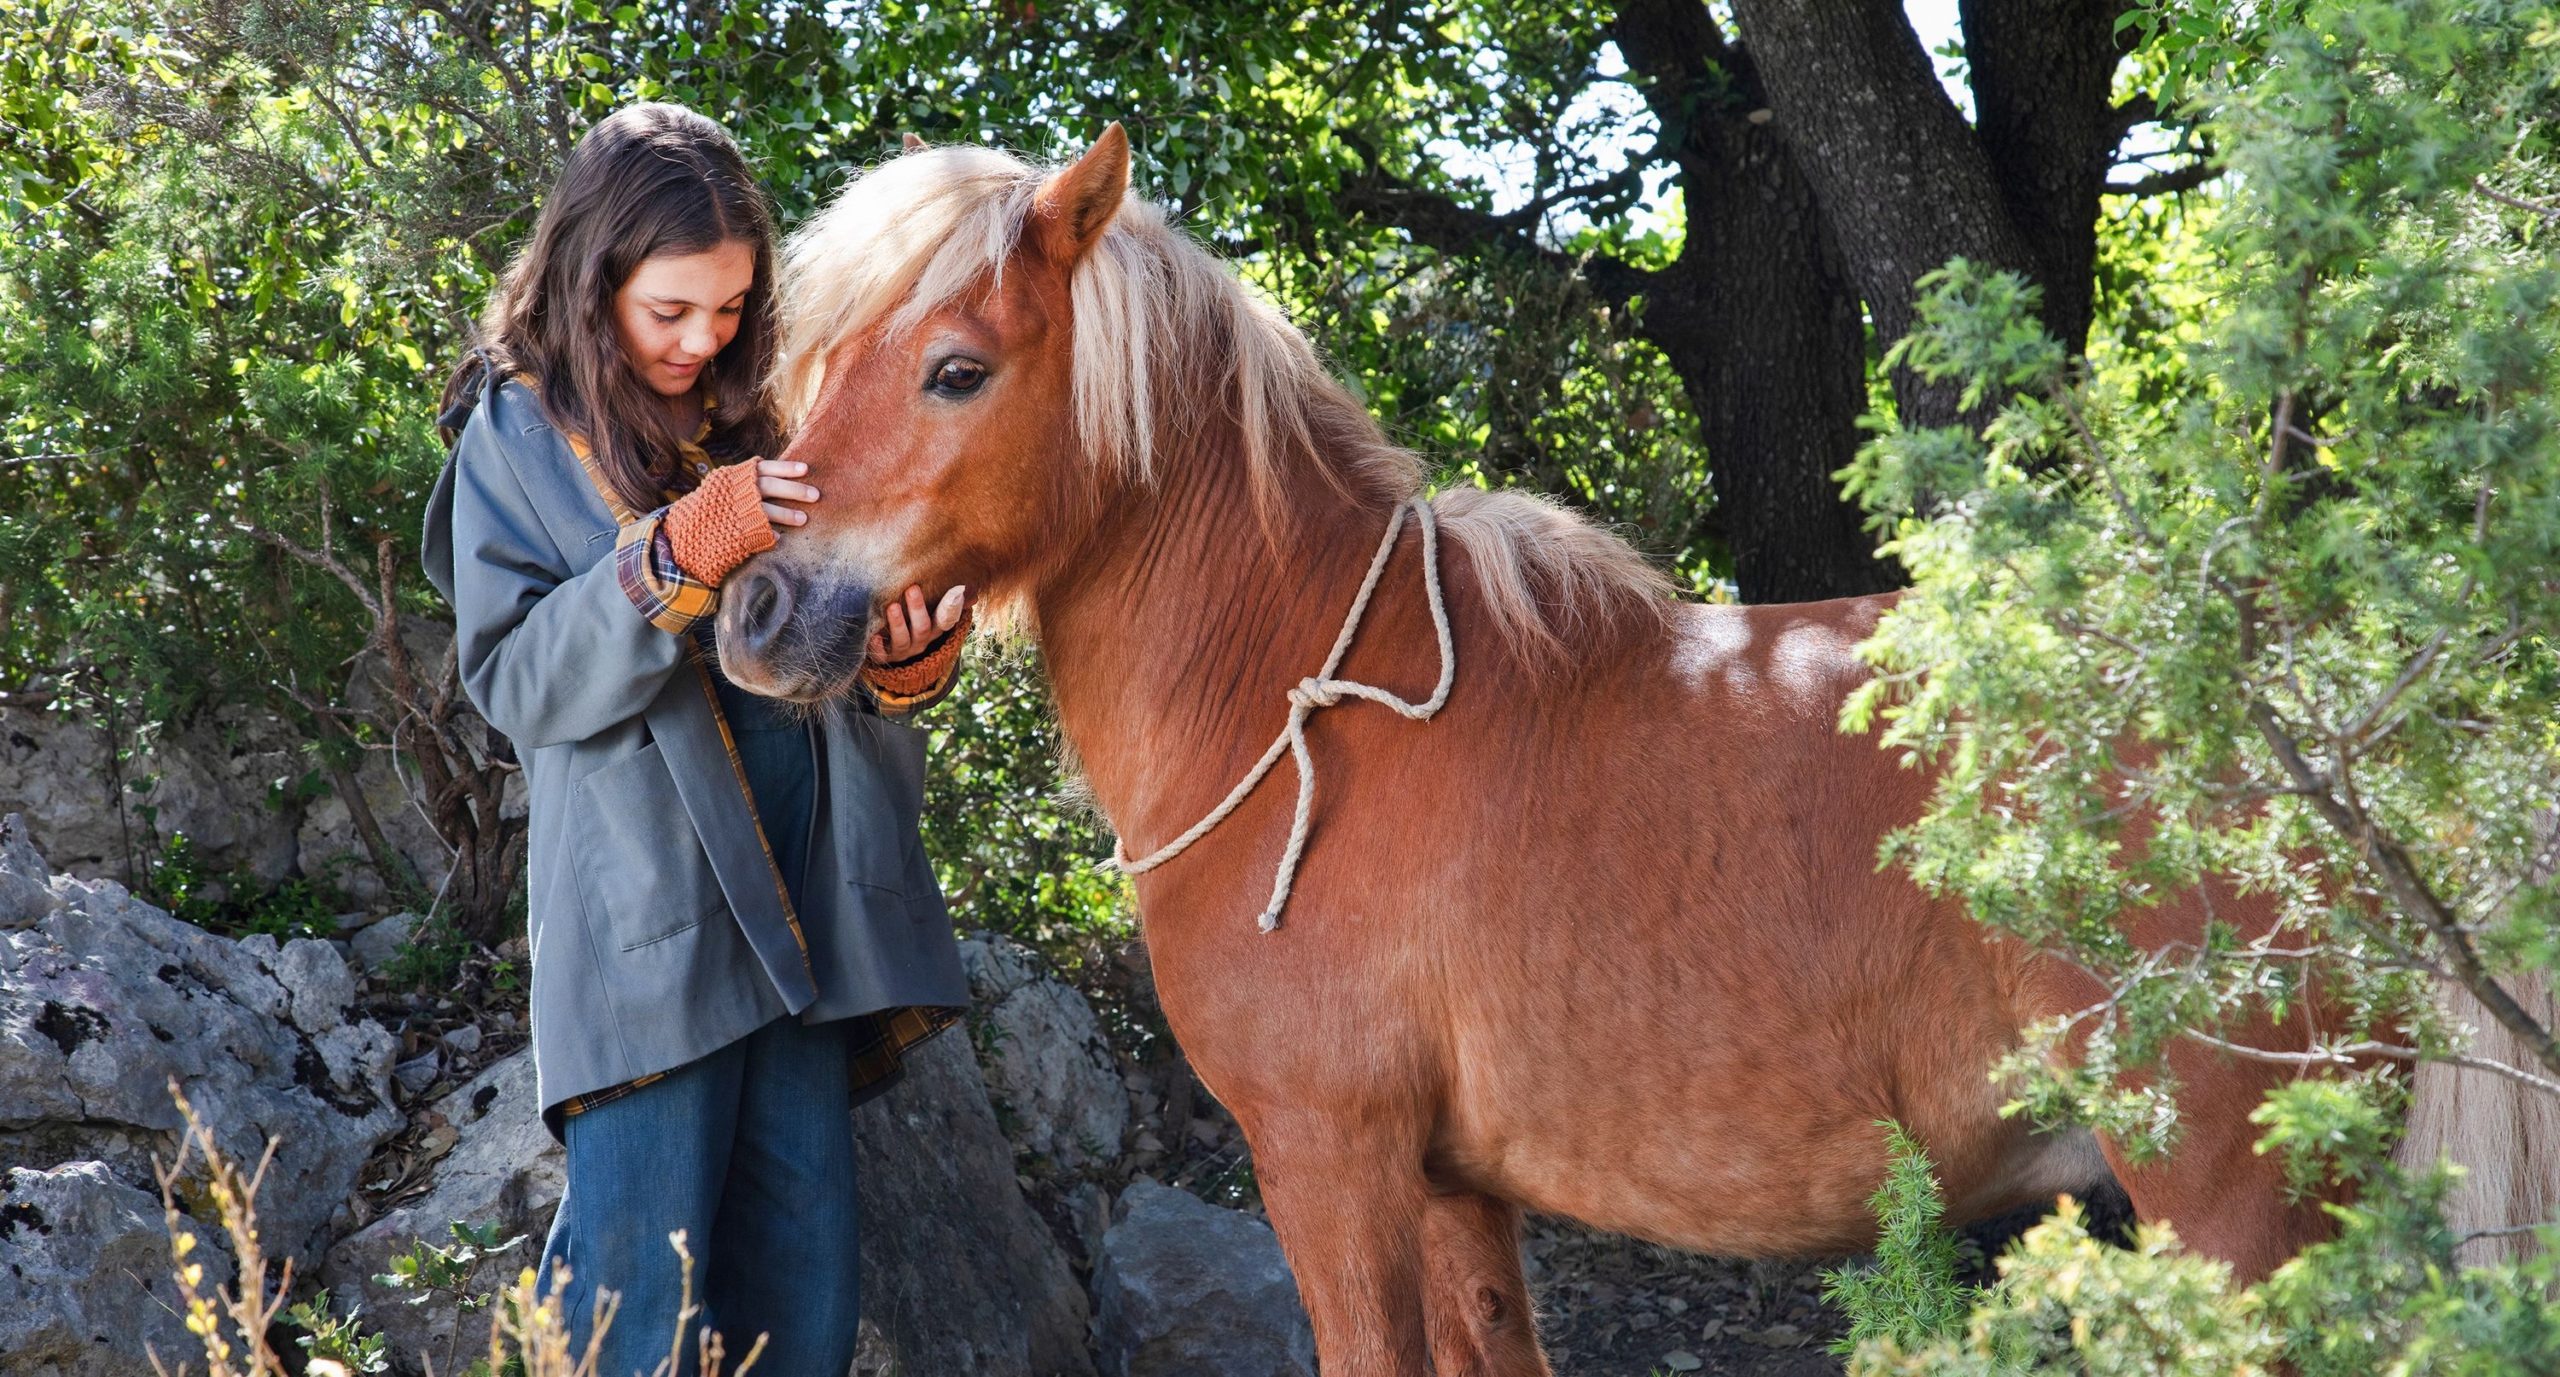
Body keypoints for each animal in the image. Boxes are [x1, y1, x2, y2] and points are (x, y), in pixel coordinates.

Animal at [721, 126, 2539, 1361]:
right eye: (819, 359)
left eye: (957, 369)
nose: (757, 609)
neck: (1307, 705)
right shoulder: (1454, 1192)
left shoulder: (1332, 1164)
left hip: (2238, 1206)